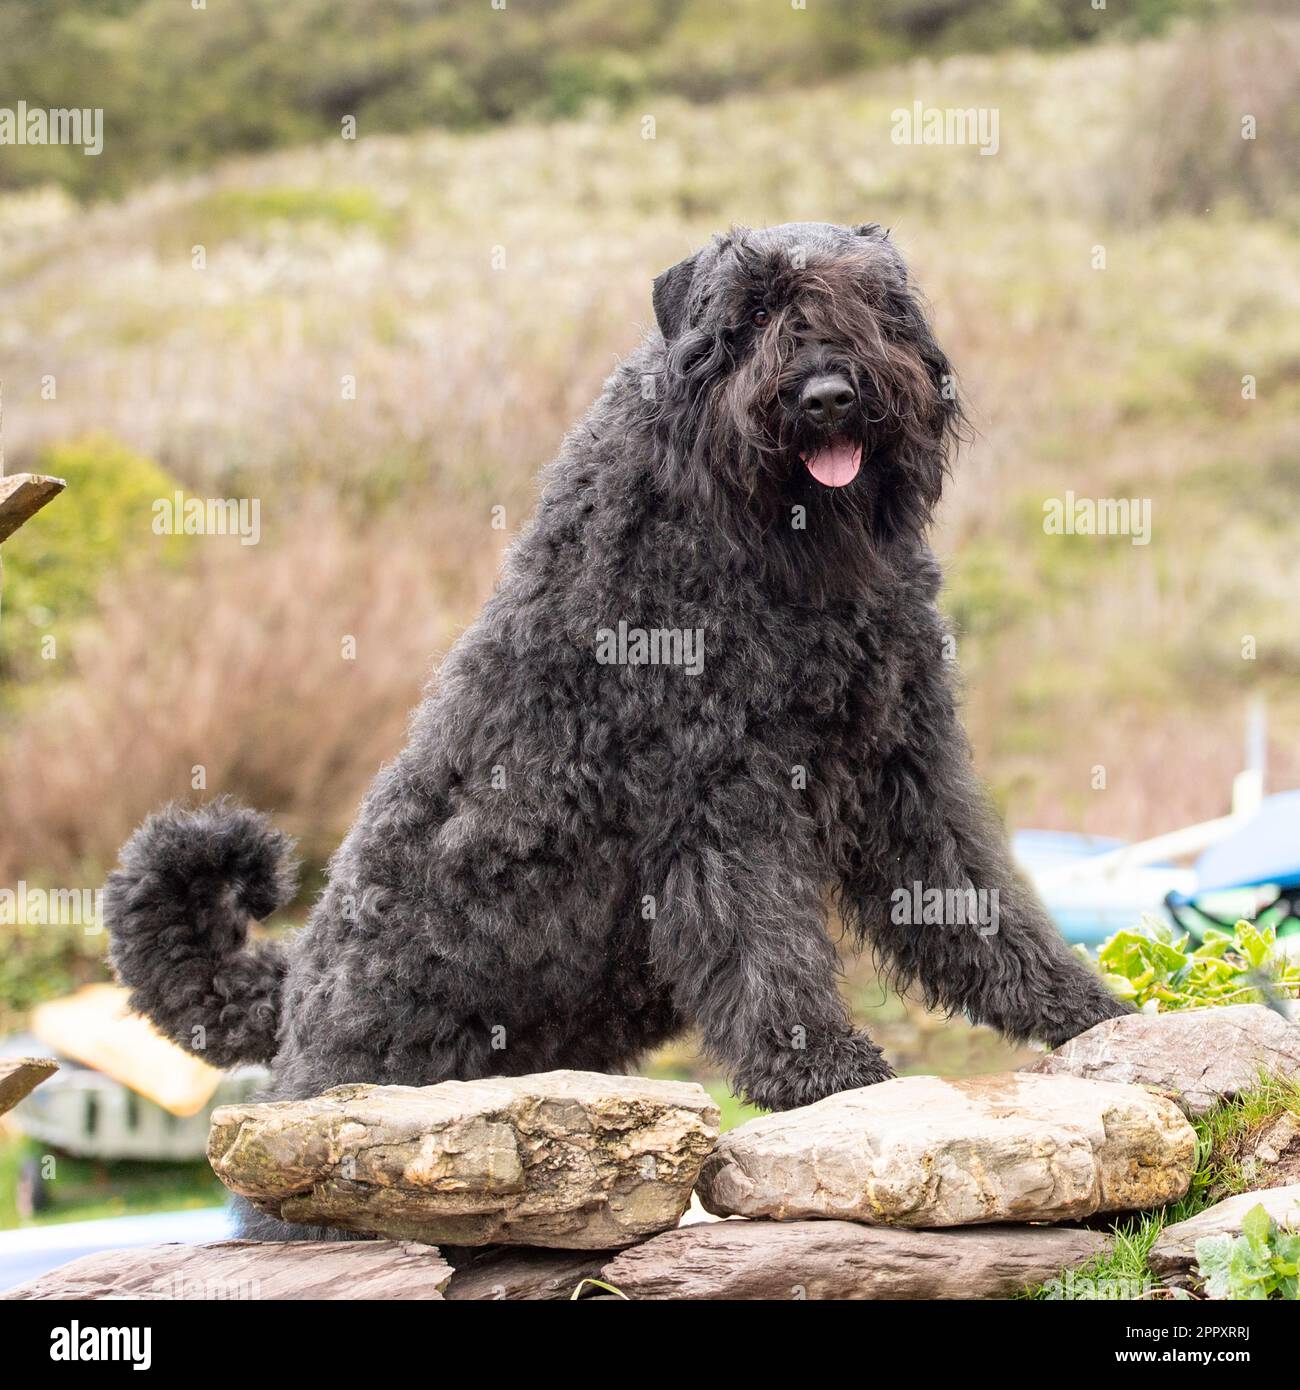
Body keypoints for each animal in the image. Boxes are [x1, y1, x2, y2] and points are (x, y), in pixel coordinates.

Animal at [109, 219, 1128, 1162]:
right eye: (750, 316)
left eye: (873, 300)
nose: (827, 394)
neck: (763, 543)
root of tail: (292, 993)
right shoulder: (722, 790)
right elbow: (763, 938)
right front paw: (821, 1068)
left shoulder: (903, 759)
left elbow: (971, 893)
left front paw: (1079, 1004)